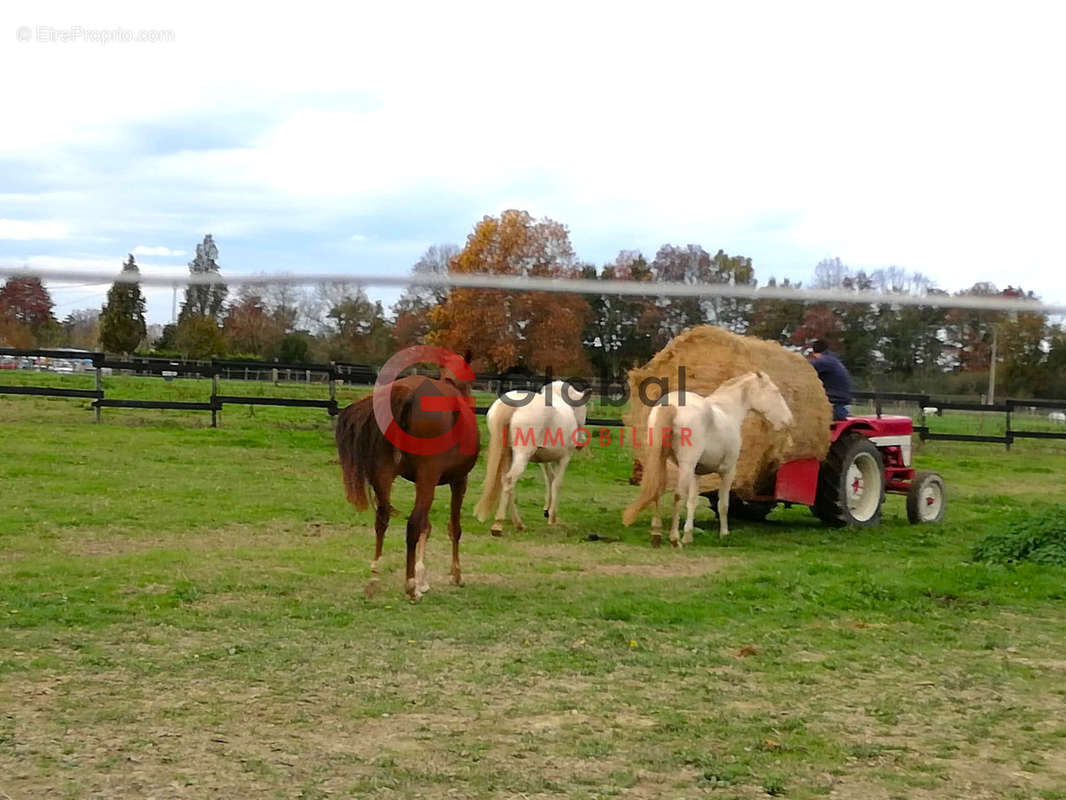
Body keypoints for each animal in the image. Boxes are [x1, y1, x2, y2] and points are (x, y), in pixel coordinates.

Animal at [336, 362, 479, 601]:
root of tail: (407, 393)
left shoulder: (422, 482)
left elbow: (426, 527)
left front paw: (423, 579)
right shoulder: (458, 481)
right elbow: (454, 528)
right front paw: (455, 575)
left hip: (386, 477)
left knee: (382, 520)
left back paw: (374, 579)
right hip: (429, 478)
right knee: (413, 523)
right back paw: (410, 586)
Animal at [477, 379, 592, 535]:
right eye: (582, 409)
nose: (581, 442)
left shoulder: (543, 460)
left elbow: (549, 479)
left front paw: (547, 510)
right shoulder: (564, 458)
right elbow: (557, 483)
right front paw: (553, 518)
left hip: (507, 454)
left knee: (506, 482)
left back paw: (518, 523)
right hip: (522, 455)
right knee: (509, 479)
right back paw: (499, 523)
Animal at [622, 373, 793, 550]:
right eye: (775, 392)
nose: (789, 419)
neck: (728, 411)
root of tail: (671, 405)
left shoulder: (696, 473)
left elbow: (692, 502)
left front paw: (688, 535)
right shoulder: (728, 471)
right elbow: (723, 504)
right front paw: (724, 534)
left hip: (660, 460)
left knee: (657, 490)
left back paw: (657, 536)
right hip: (685, 466)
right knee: (677, 496)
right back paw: (674, 539)